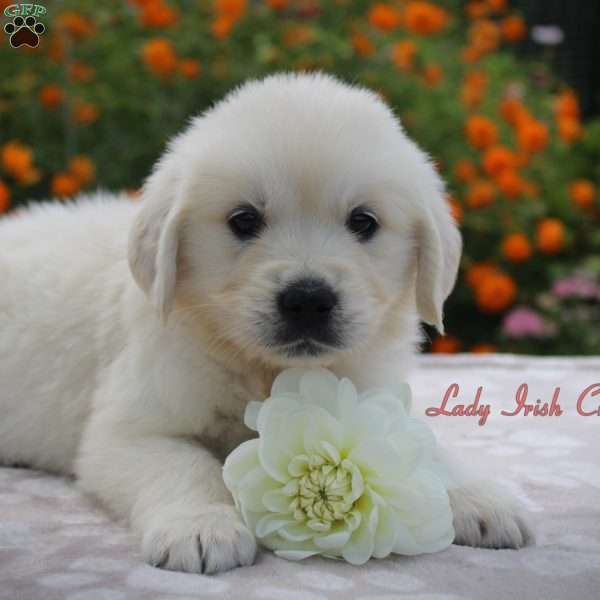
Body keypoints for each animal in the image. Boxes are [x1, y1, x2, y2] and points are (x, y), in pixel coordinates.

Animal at [0, 72, 536, 576]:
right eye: (243, 220)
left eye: (363, 222)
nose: (308, 301)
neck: (260, 370)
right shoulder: (130, 430)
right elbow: (185, 465)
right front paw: (201, 526)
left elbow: (419, 448)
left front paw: (481, 496)